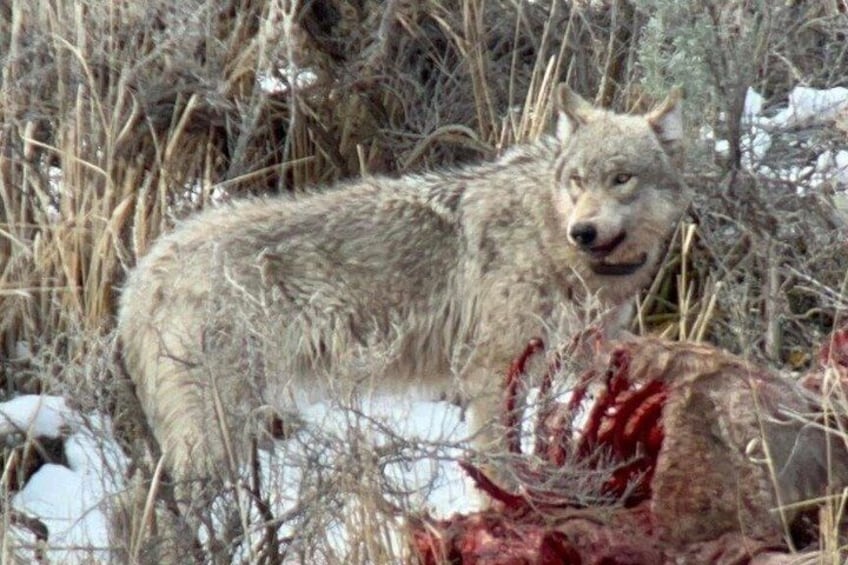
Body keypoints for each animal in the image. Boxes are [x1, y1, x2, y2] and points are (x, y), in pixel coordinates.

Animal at [117, 84, 688, 486]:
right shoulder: (489, 376)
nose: (583, 231)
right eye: (577, 180)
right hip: (218, 432)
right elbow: (497, 468)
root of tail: (143, 272)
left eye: (621, 178)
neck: (549, 235)